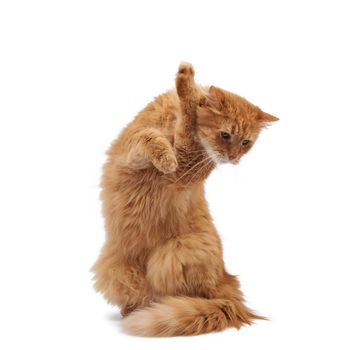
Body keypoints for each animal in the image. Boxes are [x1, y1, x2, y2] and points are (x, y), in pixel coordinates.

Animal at [92, 63, 278, 336]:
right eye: (225, 135)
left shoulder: (183, 169)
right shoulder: (132, 150)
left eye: (246, 142)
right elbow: (152, 136)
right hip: (116, 269)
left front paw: (186, 88)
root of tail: (227, 279)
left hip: (176, 254)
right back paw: (132, 310)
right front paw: (186, 85)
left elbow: (185, 126)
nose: (233, 158)